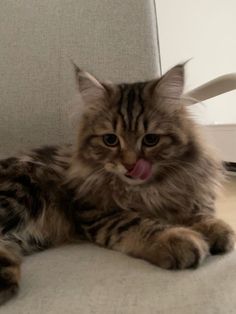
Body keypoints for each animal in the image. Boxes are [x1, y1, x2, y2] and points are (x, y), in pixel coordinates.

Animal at [0, 63, 235, 304]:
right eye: (110, 140)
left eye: (151, 139)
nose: (131, 165)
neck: (149, 189)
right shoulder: (95, 213)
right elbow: (139, 223)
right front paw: (178, 238)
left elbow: (196, 212)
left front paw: (215, 229)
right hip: (22, 189)